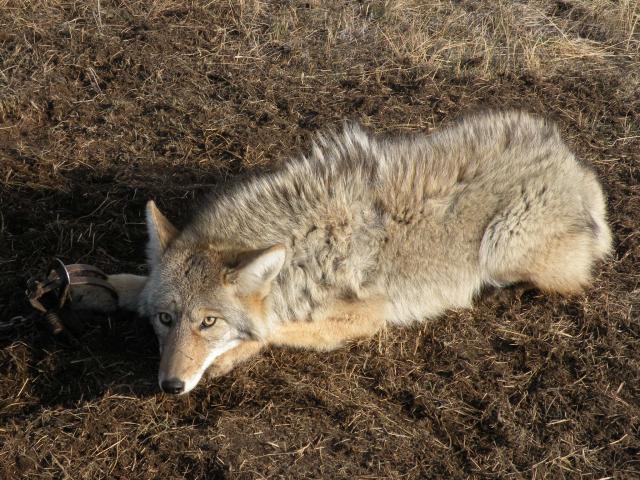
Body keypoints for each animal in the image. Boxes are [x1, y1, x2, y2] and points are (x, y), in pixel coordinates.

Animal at [79, 110, 612, 395]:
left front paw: (236, 353)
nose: (170, 386)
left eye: (208, 322)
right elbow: (135, 283)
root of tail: (576, 166)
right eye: (166, 320)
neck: (299, 247)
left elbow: (277, 331)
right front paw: (99, 285)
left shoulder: (370, 315)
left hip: (503, 245)